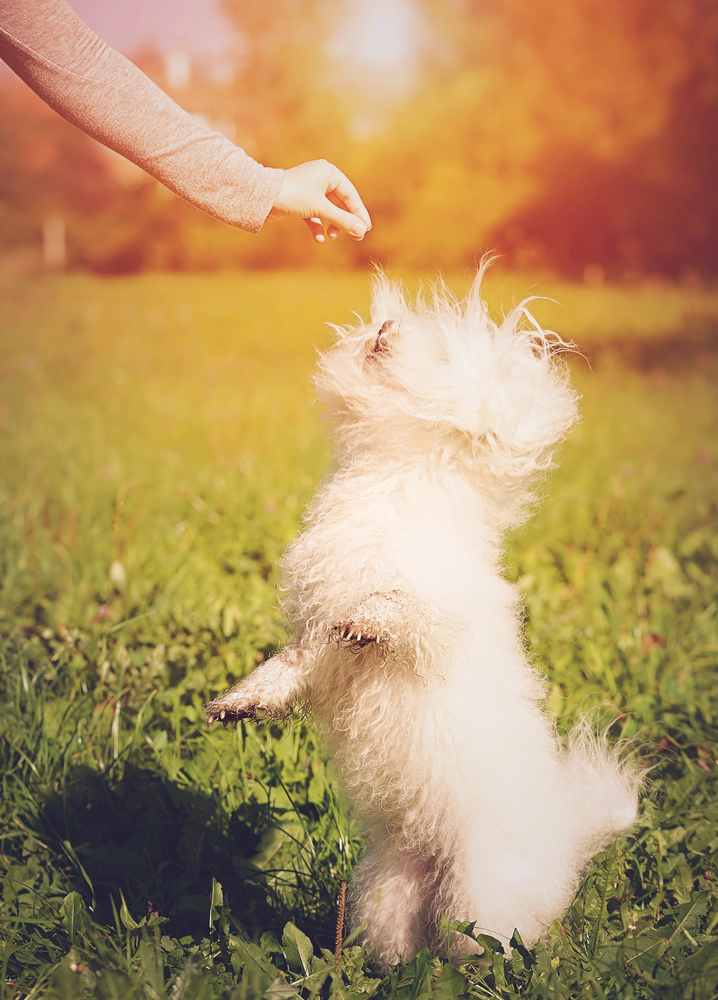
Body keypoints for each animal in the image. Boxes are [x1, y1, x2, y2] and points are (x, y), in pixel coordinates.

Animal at [204, 266, 640, 968]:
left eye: (437, 360)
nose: (385, 327)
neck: (395, 479)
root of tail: (565, 851)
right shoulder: (312, 648)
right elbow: (286, 669)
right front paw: (237, 704)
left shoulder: (434, 614)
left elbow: (398, 611)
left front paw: (365, 622)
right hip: (389, 891)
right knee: (407, 946)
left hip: (480, 899)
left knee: (492, 949)